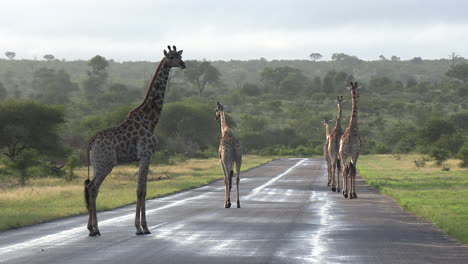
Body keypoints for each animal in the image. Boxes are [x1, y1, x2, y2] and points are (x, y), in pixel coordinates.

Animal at [84, 46, 186, 237]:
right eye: (171, 57)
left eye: (180, 55)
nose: (183, 64)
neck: (151, 119)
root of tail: (91, 143)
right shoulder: (146, 154)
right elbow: (140, 191)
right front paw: (142, 227)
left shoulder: (145, 157)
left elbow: (143, 190)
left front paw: (142, 226)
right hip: (105, 164)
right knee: (93, 188)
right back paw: (95, 229)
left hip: (96, 164)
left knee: (91, 188)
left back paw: (92, 228)